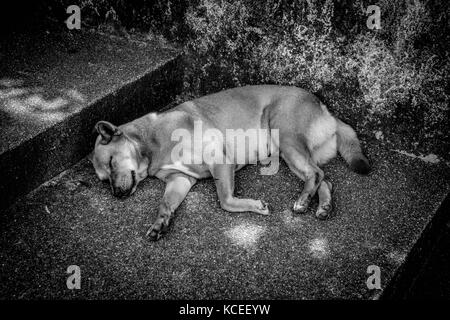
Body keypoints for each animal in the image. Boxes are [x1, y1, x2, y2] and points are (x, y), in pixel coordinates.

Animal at [90, 85, 370, 240]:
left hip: (285, 136)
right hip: (291, 153)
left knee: (316, 174)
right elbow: (165, 204)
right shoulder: (180, 180)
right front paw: (160, 223)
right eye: (103, 179)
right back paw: (322, 206)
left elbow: (225, 200)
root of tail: (326, 109)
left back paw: (303, 201)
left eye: (112, 162)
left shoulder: (219, 160)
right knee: (323, 178)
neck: (150, 142)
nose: (117, 194)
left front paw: (254, 206)